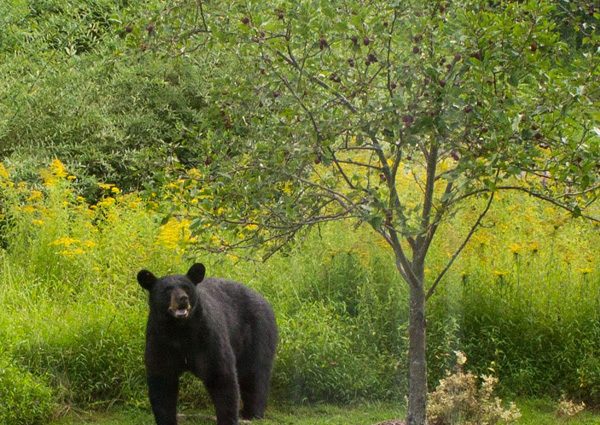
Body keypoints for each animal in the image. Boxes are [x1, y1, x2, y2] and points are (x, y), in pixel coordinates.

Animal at [137, 262, 278, 424]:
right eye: (167, 290)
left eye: (186, 287)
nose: (183, 299)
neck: (180, 330)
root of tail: (264, 299)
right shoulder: (159, 339)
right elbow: (162, 381)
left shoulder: (207, 336)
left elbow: (221, 374)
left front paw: (228, 419)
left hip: (258, 332)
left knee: (254, 372)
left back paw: (251, 412)